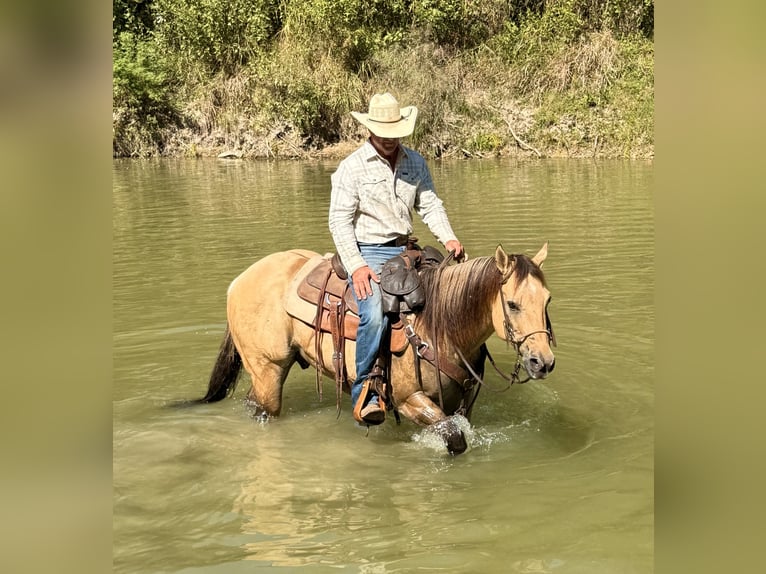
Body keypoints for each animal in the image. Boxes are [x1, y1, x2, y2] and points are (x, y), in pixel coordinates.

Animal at [183, 243, 555, 455]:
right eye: (512, 304)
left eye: (548, 300)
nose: (543, 362)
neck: (440, 327)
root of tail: (239, 281)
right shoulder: (409, 399)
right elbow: (454, 440)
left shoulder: (462, 402)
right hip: (268, 370)